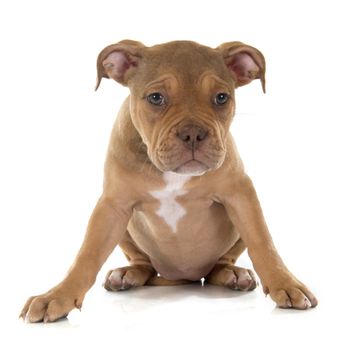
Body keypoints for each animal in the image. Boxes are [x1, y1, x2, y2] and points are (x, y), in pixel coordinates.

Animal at [21, 39, 318, 322]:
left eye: (221, 97)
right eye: (156, 98)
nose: (193, 133)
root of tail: (183, 277)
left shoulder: (240, 194)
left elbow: (263, 242)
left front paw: (286, 283)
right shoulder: (112, 206)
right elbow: (88, 254)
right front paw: (57, 296)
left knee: (219, 265)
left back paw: (233, 274)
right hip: (127, 230)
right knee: (143, 264)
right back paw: (127, 274)